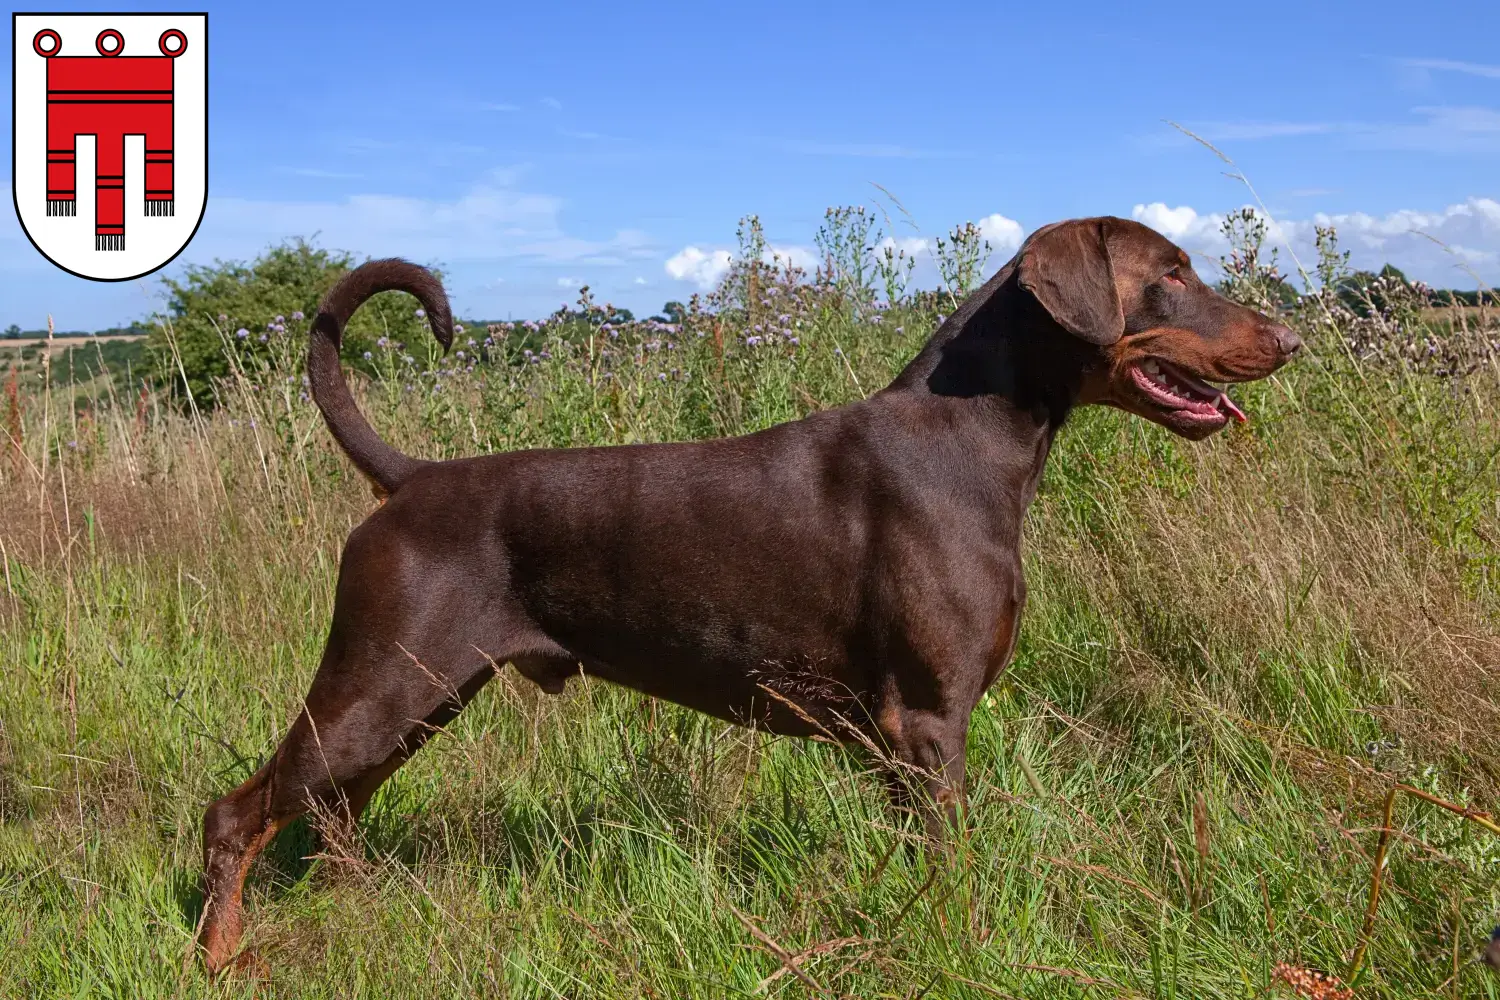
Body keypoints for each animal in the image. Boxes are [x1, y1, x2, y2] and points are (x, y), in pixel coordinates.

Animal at [196, 212, 1302, 971]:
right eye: (1171, 274)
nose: (1290, 340)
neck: (975, 439)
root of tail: (412, 478)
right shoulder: (929, 719)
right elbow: (951, 868)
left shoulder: (900, 740)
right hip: (380, 679)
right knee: (239, 814)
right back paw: (219, 958)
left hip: (422, 691)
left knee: (337, 811)